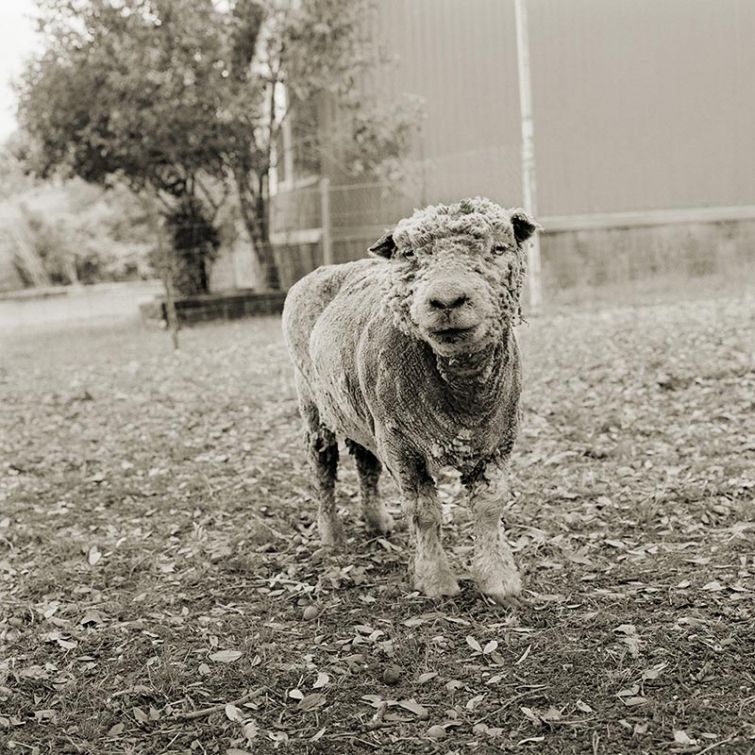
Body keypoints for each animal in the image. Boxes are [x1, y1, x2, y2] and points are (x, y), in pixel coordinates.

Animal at [282, 198, 536, 604]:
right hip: (312, 403)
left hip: (358, 411)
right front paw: (435, 581)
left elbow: (489, 507)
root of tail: (330, 267)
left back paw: (377, 521)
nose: (446, 300)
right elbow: (424, 512)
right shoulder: (402, 447)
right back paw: (332, 535)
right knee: (323, 468)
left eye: (498, 248)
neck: (463, 397)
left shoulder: (497, 440)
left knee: (365, 463)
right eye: (410, 255)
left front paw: (499, 580)